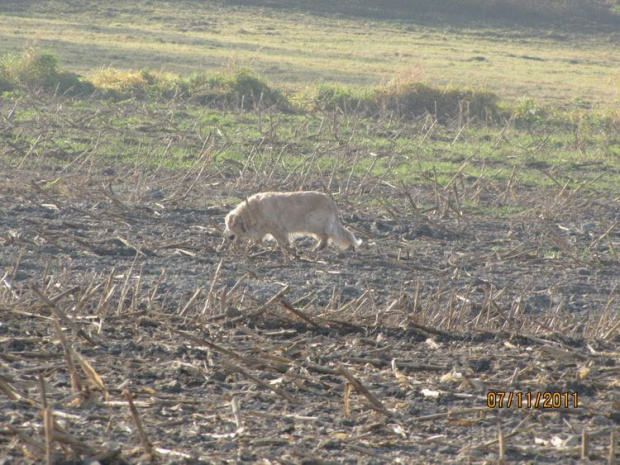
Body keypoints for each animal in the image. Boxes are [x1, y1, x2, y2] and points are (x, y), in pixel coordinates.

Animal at [223, 192, 360, 258]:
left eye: (229, 226)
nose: (224, 235)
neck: (251, 212)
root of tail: (331, 202)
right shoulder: (262, 231)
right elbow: (256, 241)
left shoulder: (277, 229)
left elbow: (283, 242)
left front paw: (287, 250)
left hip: (312, 223)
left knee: (326, 236)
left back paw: (316, 248)